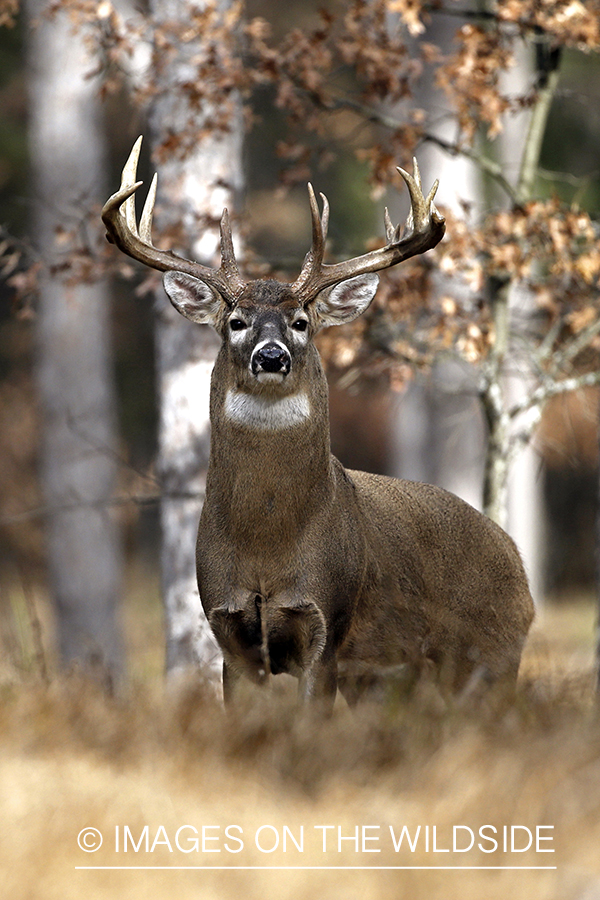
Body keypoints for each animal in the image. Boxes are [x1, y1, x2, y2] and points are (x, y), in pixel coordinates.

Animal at [102, 137, 536, 708]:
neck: (266, 546)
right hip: (388, 680)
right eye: (235, 322)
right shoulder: (229, 633)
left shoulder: (327, 624)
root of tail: (519, 566)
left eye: (301, 322)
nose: (271, 356)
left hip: (490, 660)